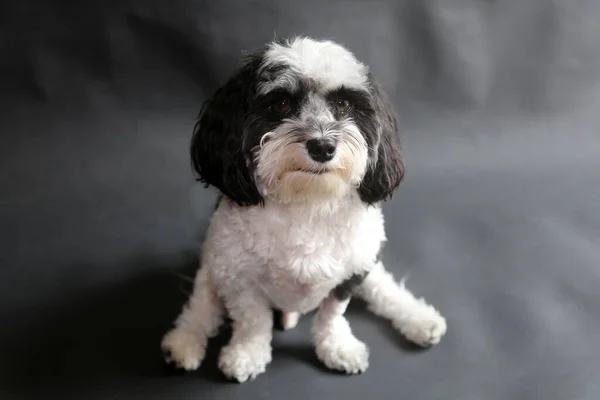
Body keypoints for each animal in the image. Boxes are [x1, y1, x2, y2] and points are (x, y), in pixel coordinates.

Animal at [159, 36, 446, 382]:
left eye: (343, 105)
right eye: (281, 104)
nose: (322, 146)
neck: (307, 203)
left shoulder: (352, 270)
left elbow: (332, 315)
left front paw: (337, 347)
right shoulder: (236, 274)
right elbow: (252, 319)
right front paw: (247, 354)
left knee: (381, 286)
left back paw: (419, 318)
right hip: (212, 263)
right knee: (202, 300)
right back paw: (185, 341)